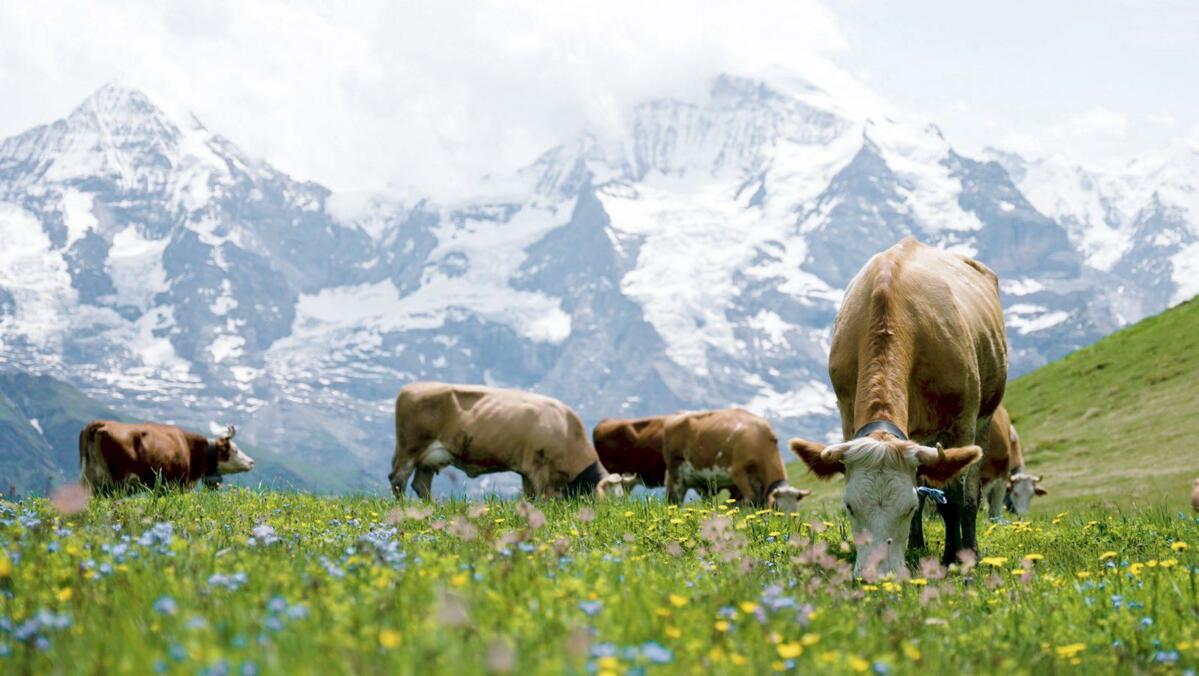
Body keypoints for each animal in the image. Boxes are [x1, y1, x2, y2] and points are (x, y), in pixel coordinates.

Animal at [79, 421, 254, 493]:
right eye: (235, 450)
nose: (252, 462)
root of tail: (102, 423)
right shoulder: (178, 484)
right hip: (117, 480)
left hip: (89, 480)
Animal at [388, 382, 639, 499]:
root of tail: (410, 388)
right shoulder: (540, 471)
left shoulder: (527, 472)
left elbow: (530, 498)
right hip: (409, 448)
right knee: (398, 480)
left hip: (430, 457)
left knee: (420, 485)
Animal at [662, 408, 809, 512]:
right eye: (776, 507)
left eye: (795, 512)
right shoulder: (738, 473)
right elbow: (751, 499)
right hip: (676, 477)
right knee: (674, 501)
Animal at [789, 237, 1007, 578]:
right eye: (849, 507)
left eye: (908, 508)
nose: (877, 577)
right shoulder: (847, 412)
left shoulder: (962, 421)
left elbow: (952, 499)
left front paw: (952, 557)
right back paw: (917, 544)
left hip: (984, 418)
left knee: (971, 492)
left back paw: (969, 548)